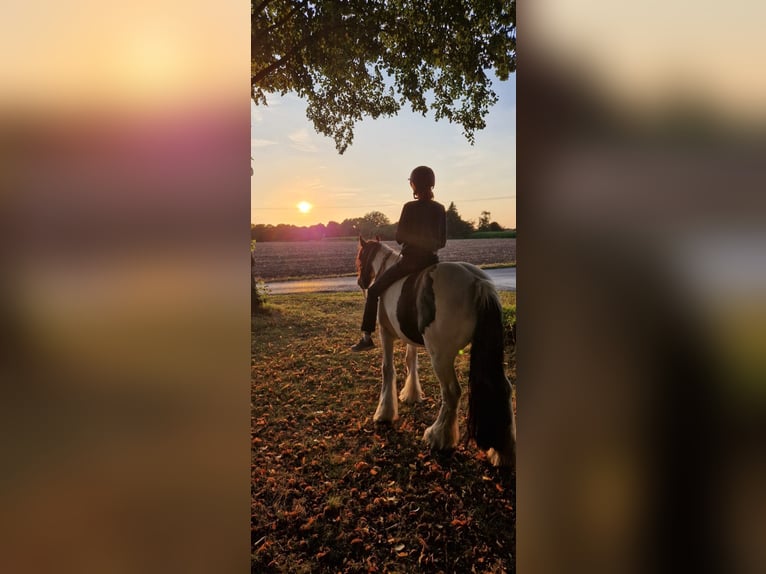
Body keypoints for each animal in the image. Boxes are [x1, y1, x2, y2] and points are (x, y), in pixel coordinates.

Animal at [356, 237, 516, 468]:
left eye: (359, 256)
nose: (360, 282)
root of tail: (477, 282)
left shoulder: (385, 333)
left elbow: (388, 369)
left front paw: (384, 413)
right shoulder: (409, 337)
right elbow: (410, 361)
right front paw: (411, 394)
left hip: (441, 357)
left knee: (451, 392)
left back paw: (438, 437)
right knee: (503, 388)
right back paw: (503, 452)